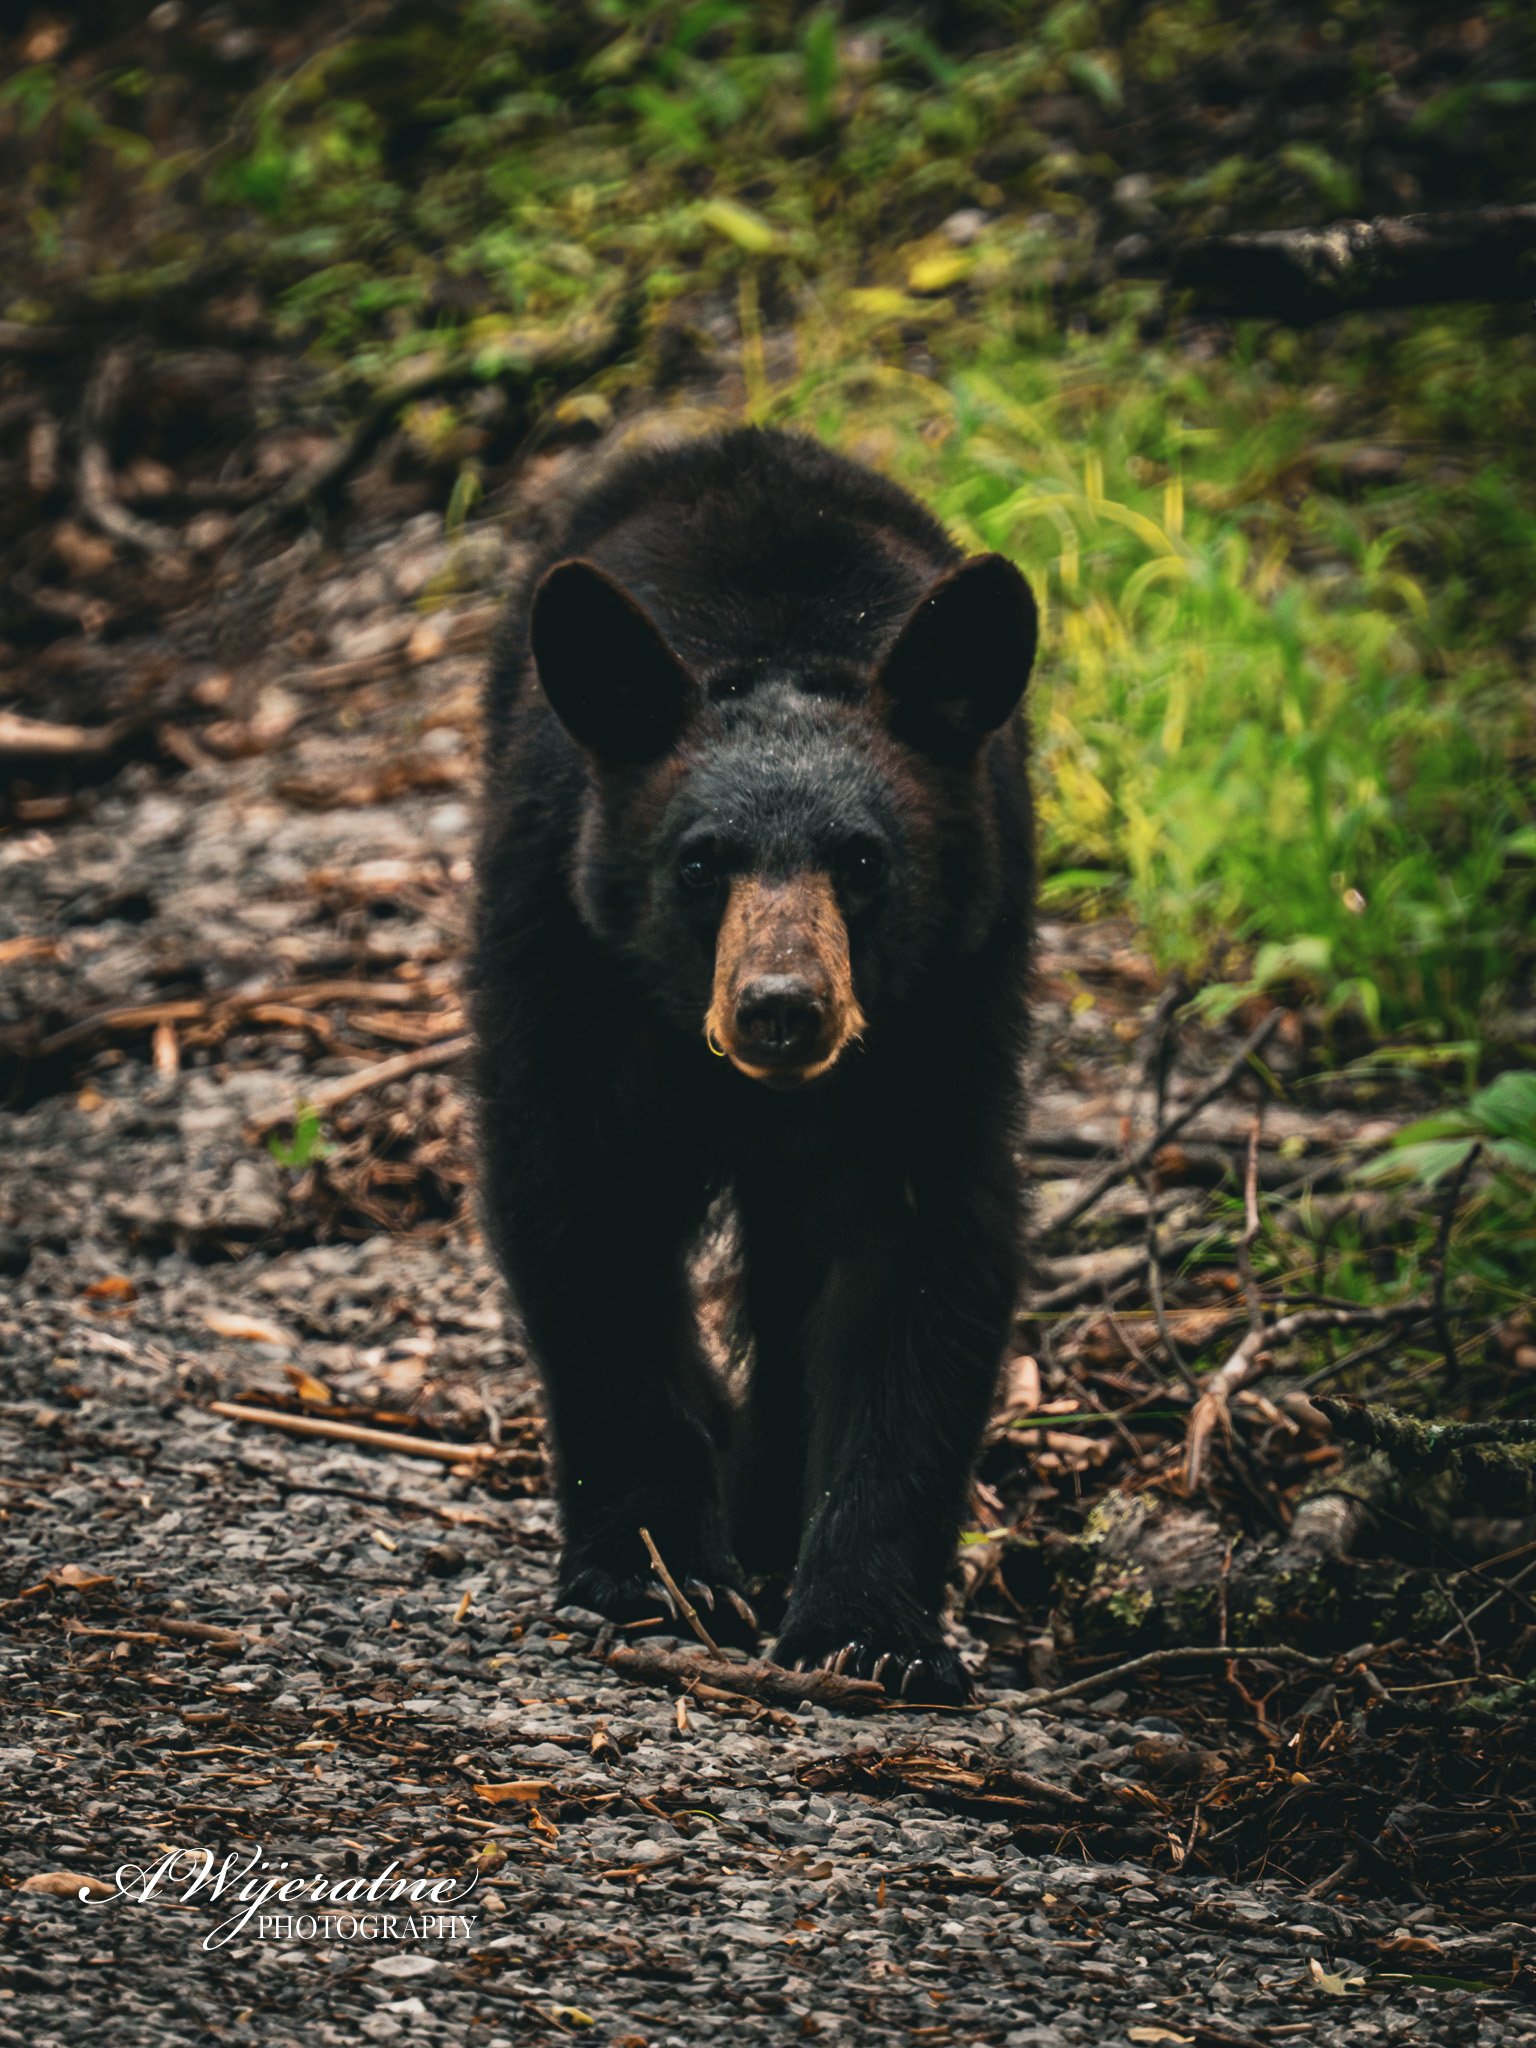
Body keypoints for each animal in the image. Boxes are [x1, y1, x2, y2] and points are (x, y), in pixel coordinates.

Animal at [470, 426, 1037, 1702]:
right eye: (701, 861)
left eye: (864, 859)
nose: (783, 1009)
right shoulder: (563, 955)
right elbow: (581, 1213)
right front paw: (651, 1570)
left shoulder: (948, 1007)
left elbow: (916, 1257)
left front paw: (870, 1623)